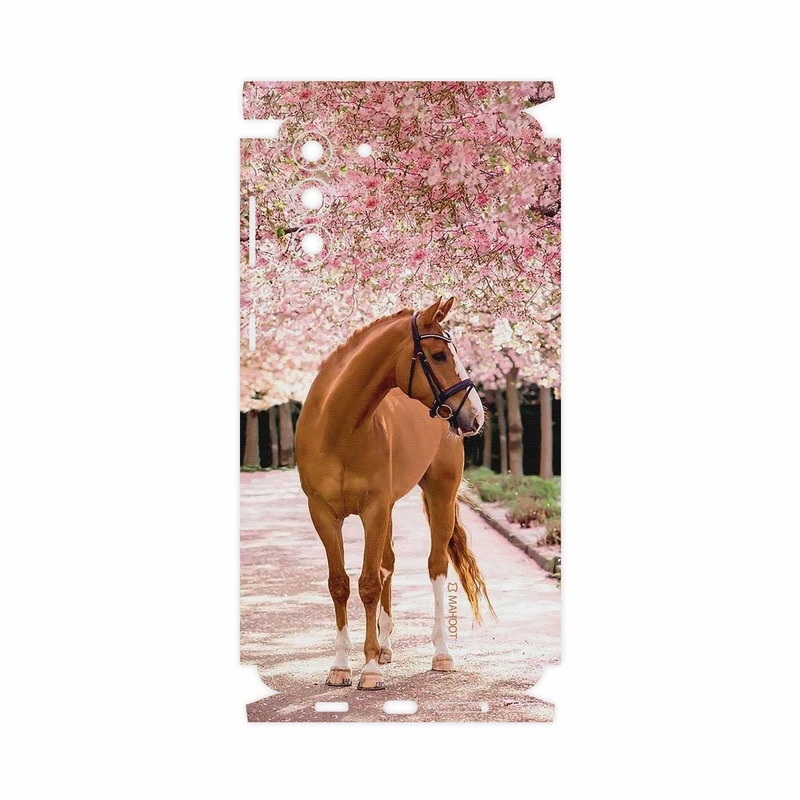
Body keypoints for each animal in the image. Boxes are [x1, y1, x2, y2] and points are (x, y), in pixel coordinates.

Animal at [295, 297, 494, 690]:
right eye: (438, 355)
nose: (476, 416)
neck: (338, 428)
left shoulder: (373, 509)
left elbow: (369, 584)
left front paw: (369, 669)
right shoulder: (324, 513)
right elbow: (340, 584)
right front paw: (341, 665)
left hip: (439, 493)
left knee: (435, 566)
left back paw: (441, 653)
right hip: (388, 508)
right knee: (388, 563)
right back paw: (385, 646)